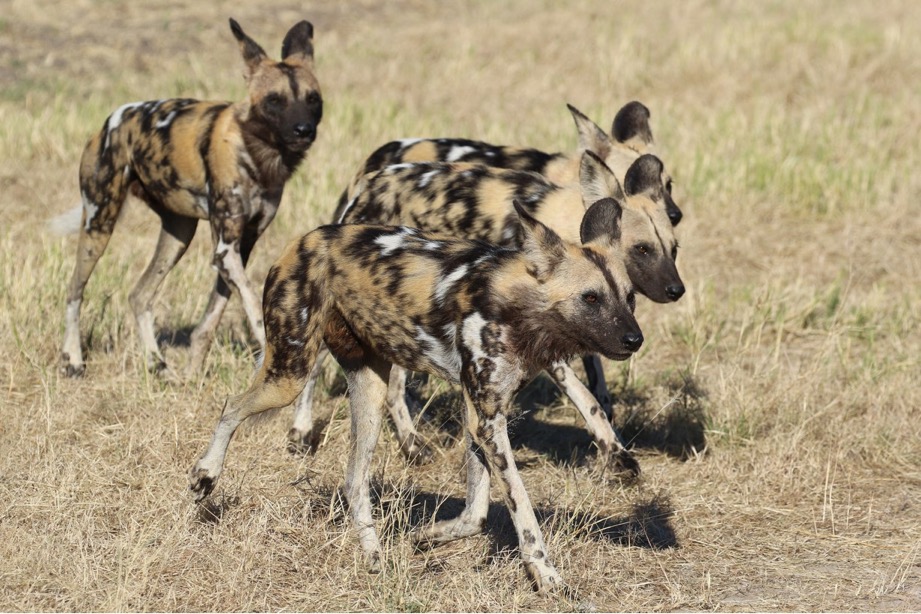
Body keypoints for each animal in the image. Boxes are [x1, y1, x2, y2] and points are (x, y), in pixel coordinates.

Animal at [58, 16, 324, 378]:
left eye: (312, 99)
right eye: (275, 100)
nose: (303, 130)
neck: (258, 155)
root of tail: (110, 121)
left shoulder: (239, 247)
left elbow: (212, 316)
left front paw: (193, 372)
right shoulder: (226, 250)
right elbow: (255, 308)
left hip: (178, 234)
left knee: (139, 295)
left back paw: (157, 363)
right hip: (99, 225)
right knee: (75, 291)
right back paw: (73, 359)